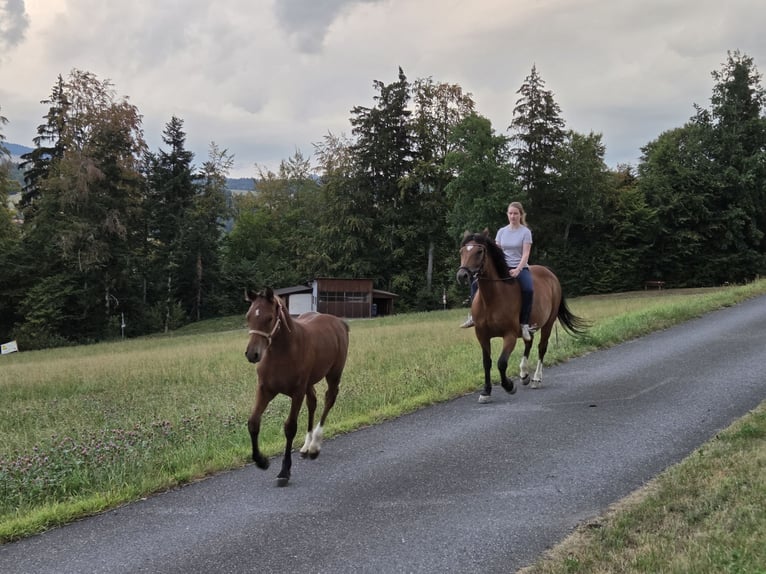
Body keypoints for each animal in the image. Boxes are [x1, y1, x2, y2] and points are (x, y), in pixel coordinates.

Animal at [244, 287, 350, 486]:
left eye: (269, 318)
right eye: (248, 316)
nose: (252, 354)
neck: (282, 352)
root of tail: (339, 322)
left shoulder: (297, 392)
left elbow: (290, 427)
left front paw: (284, 471)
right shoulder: (264, 390)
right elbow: (253, 422)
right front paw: (261, 461)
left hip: (333, 374)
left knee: (329, 399)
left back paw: (315, 446)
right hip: (309, 383)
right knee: (313, 402)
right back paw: (306, 446)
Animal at [456, 230, 588, 403]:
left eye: (479, 251)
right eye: (462, 251)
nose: (462, 275)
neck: (492, 299)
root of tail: (549, 273)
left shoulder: (510, 335)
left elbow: (501, 363)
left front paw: (509, 386)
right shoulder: (482, 335)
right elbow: (487, 362)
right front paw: (486, 392)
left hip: (548, 323)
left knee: (541, 348)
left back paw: (536, 379)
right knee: (528, 342)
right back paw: (524, 374)